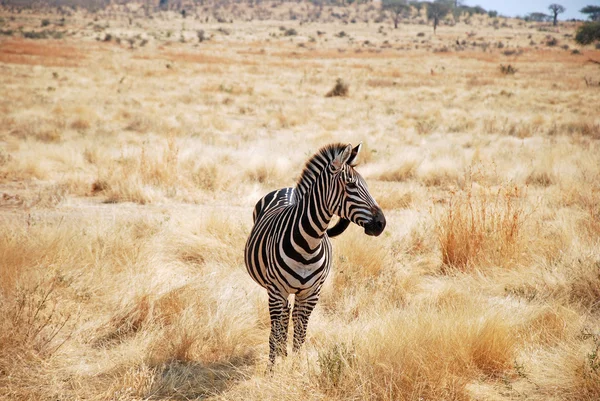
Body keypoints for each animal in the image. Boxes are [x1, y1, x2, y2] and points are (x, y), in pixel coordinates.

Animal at [243, 142, 384, 364]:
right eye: (351, 185)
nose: (381, 224)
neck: (308, 244)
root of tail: (288, 189)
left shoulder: (311, 293)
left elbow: (300, 334)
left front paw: (295, 366)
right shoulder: (276, 291)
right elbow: (275, 333)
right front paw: (272, 369)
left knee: (289, 316)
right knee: (282, 320)